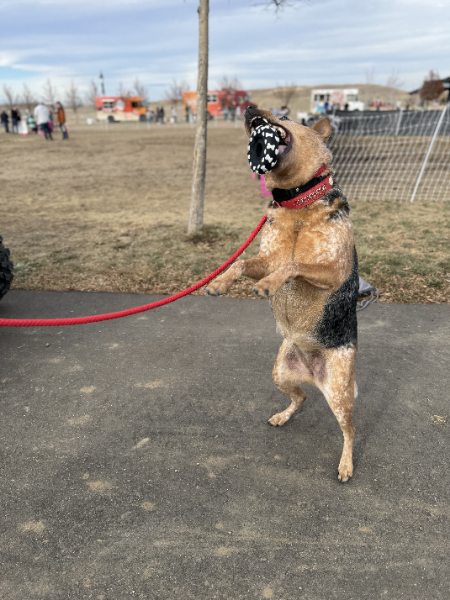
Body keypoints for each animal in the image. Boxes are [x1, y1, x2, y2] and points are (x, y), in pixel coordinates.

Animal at [207, 106, 358, 482]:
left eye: (284, 117)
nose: (249, 108)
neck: (297, 204)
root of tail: (313, 370)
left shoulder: (331, 270)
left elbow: (293, 265)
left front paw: (268, 285)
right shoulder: (266, 259)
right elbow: (243, 262)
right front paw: (220, 282)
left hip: (339, 393)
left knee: (349, 430)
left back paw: (346, 464)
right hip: (280, 373)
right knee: (301, 398)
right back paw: (283, 415)